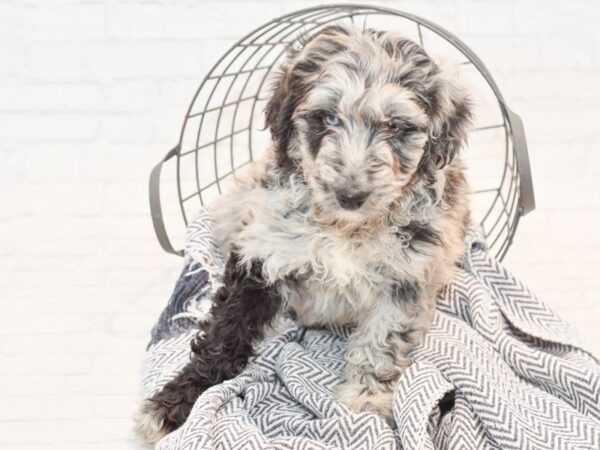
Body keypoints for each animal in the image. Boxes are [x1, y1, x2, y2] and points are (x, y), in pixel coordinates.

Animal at [136, 24, 474, 442]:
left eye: (395, 127)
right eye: (327, 118)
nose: (351, 195)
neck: (344, 228)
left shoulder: (408, 277)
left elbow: (382, 341)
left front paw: (362, 404)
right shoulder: (260, 255)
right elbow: (225, 332)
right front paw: (176, 401)